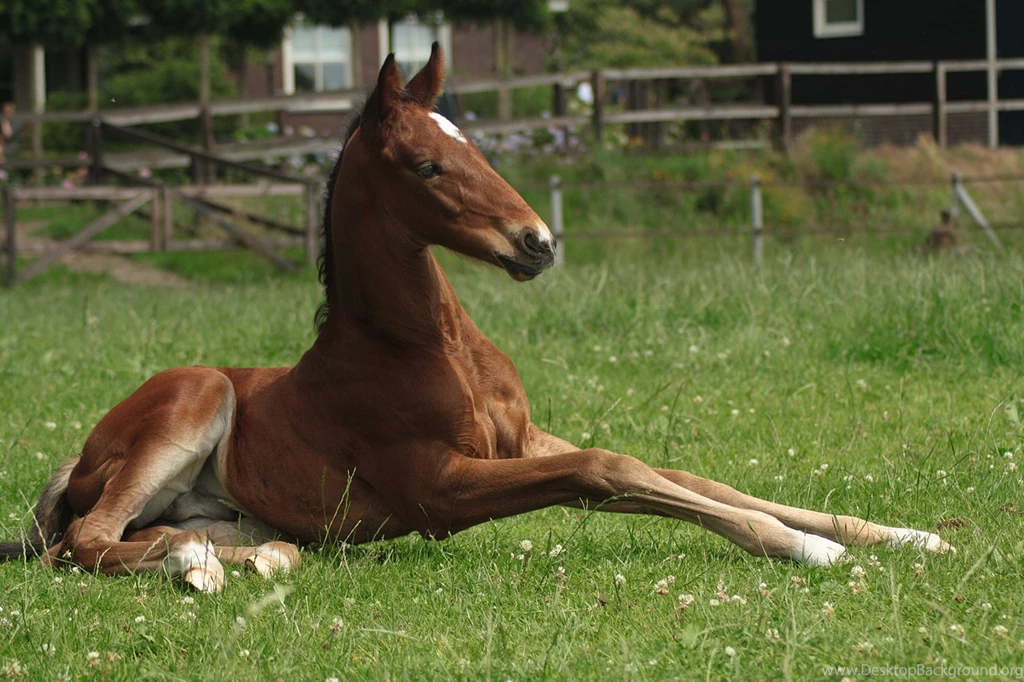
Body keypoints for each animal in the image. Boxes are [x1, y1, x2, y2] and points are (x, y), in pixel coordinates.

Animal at [0, 46, 951, 592]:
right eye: (425, 165)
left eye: (478, 145)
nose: (538, 242)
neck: (432, 345)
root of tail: (79, 454)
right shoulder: (443, 486)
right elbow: (608, 470)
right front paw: (808, 552)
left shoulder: (522, 440)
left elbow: (679, 472)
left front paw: (904, 534)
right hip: (191, 397)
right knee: (84, 541)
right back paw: (194, 568)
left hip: (231, 508)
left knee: (180, 540)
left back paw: (229, 560)